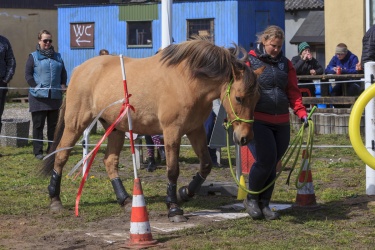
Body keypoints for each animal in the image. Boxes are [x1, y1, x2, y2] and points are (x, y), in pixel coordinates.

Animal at [41, 38, 262, 222]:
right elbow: (172, 170)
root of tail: (80, 69)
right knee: (61, 156)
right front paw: (173, 208)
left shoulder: (195, 130)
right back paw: (54, 199)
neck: (187, 81)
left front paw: (185, 193)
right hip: (75, 124)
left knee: (110, 161)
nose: (245, 137)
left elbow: (206, 165)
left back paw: (125, 200)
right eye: (239, 98)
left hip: (116, 128)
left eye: (256, 99)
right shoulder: (172, 131)